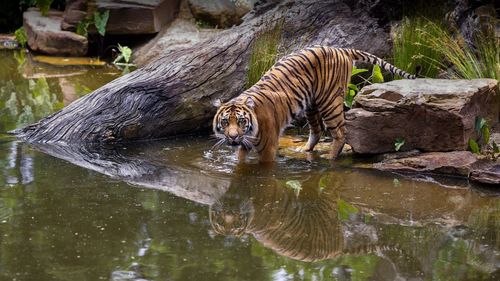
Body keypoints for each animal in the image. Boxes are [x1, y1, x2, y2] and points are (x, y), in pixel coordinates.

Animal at [212, 44, 418, 161]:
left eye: (241, 121)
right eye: (225, 122)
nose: (232, 137)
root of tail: (341, 49)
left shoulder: (268, 147)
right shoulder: (244, 146)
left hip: (330, 102)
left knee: (340, 132)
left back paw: (331, 157)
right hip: (311, 104)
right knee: (317, 130)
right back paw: (305, 149)